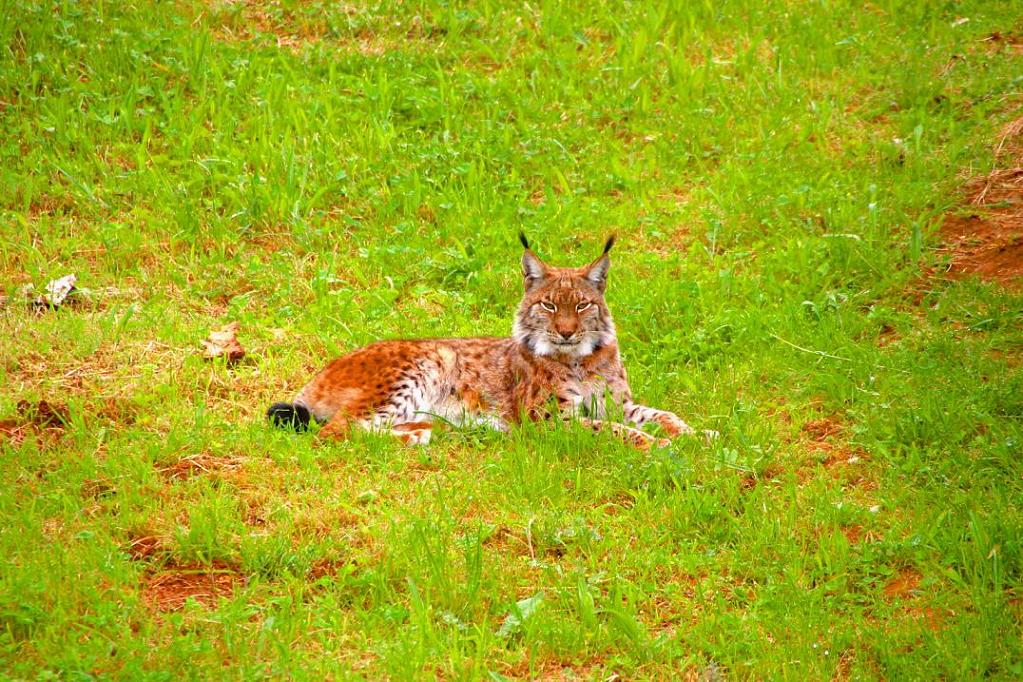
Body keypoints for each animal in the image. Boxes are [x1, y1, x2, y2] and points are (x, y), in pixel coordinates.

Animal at [263, 237, 716, 449]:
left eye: (583, 304)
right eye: (549, 305)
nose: (566, 332)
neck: (581, 359)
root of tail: (322, 371)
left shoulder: (617, 402)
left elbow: (661, 414)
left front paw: (697, 434)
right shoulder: (548, 419)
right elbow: (614, 431)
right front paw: (658, 446)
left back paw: (420, 431)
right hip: (424, 362)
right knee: (333, 431)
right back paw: (410, 437)